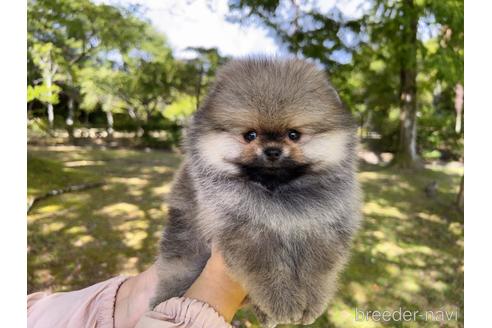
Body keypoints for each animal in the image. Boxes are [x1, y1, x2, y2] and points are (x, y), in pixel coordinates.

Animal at [152, 57, 364, 326]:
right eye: (249, 135)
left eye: (294, 135)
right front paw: (281, 302)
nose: (272, 151)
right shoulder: (243, 230)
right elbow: (266, 267)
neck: (277, 193)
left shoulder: (324, 226)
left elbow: (319, 270)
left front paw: (313, 302)